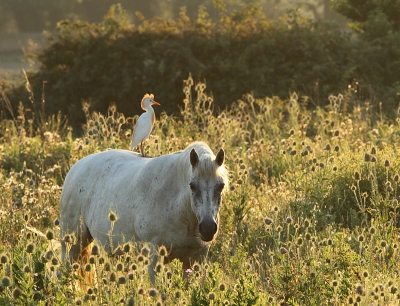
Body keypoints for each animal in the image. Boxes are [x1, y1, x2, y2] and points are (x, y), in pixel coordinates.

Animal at [59, 142, 228, 280]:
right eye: (192, 185)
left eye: (221, 186)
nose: (207, 228)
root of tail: (75, 168)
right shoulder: (154, 258)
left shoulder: (195, 260)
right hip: (71, 243)